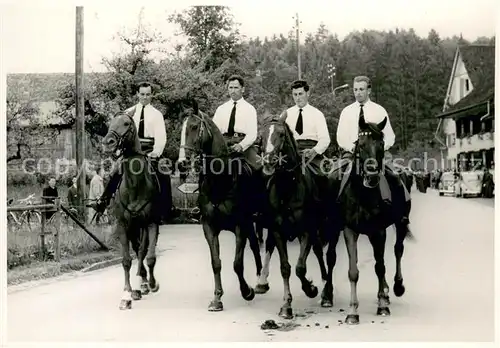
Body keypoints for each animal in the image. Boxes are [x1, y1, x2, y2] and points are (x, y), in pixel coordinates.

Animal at [102, 111, 162, 310]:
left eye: (126, 123)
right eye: (110, 122)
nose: (108, 142)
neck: (135, 185)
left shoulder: (151, 223)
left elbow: (150, 257)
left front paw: (152, 283)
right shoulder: (122, 225)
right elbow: (126, 260)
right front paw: (126, 294)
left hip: (142, 227)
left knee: (143, 251)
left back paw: (144, 283)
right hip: (133, 228)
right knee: (137, 251)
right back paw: (138, 285)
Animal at [181, 108, 266, 310]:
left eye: (194, 127)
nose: (183, 162)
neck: (220, 182)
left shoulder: (240, 226)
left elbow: (237, 264)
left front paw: (247, 291)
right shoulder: (209, 226)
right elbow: (216, 262)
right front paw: (217, 298)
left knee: (257, 246)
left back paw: (261, 282)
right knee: (254, 245)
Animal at [254, 117, 340, 318]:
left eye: (281, 134)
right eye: (262, 135)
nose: (269, 162)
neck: (287, 188)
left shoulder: (306, 231)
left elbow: (301, 268)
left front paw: (311, 289)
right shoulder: (278, 231)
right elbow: (285, 268)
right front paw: (286, 305)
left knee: (323, 254)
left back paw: (326, 291)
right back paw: (262, 282)